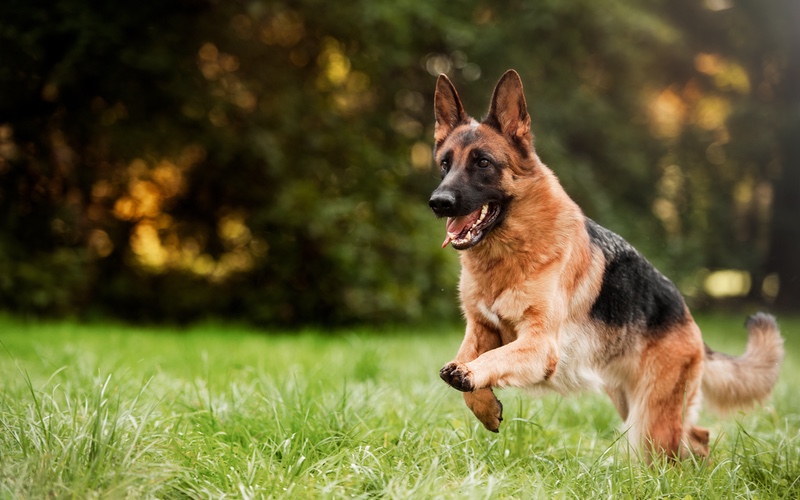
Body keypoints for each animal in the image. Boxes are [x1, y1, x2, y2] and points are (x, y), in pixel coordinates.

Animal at [428, 69, 784, 460]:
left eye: (483, 163)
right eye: (445, 164)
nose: (438, 202)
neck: (508, 255)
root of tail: (689, 318)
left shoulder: (539, 345)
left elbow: (491, 360)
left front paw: (472, 377)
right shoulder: (480, 329)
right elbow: (465, 362)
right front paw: (484, 404)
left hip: (650, 420)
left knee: (676, 447)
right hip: (632, 403)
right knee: (697, 435)